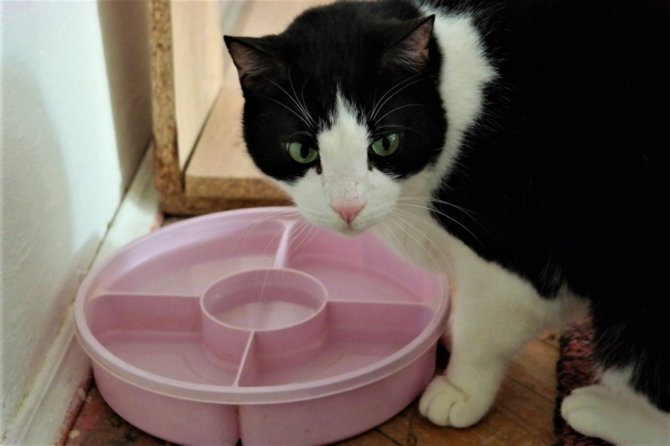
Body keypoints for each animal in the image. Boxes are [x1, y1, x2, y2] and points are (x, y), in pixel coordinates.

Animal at [224, 0, 670, 443]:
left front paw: (460, 390)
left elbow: (483, 330)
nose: (348, 208)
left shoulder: (517, 256)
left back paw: (600, 410)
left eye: (386, 143)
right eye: (301, 150)